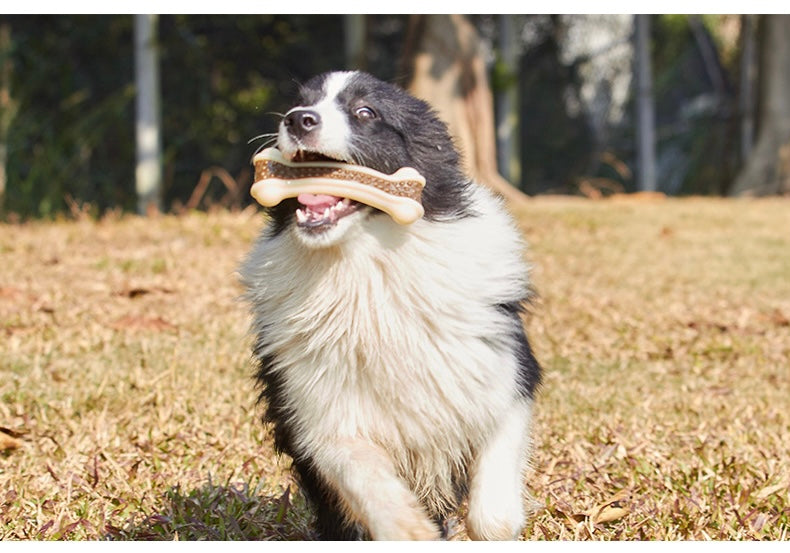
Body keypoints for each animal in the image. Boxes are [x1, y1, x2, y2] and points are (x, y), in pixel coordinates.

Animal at [238, 70, 540, 540]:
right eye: (300, 102)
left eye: (366, 112)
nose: (297, 119)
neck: (365, 267)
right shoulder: (318, 412)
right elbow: (367, 479)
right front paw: (413, 530)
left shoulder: (506, 377)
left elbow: (493, 514)